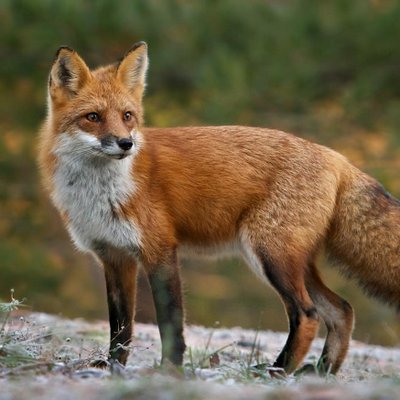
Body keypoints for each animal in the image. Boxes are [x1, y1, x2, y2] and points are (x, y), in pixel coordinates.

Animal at [38, 41, 400, 376]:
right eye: (93, 117)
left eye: (127, 116)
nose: (126, 143)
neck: (101, 193)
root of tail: (337, 157)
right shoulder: (114, 257)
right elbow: (121, 327)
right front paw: (114, 366)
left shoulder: (159, 250)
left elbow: (170, 323)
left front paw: (169, 368)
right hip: (293, 262)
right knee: (342, 310)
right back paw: (322, 371)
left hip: (270, 256)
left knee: (308, 315)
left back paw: (276, 371)